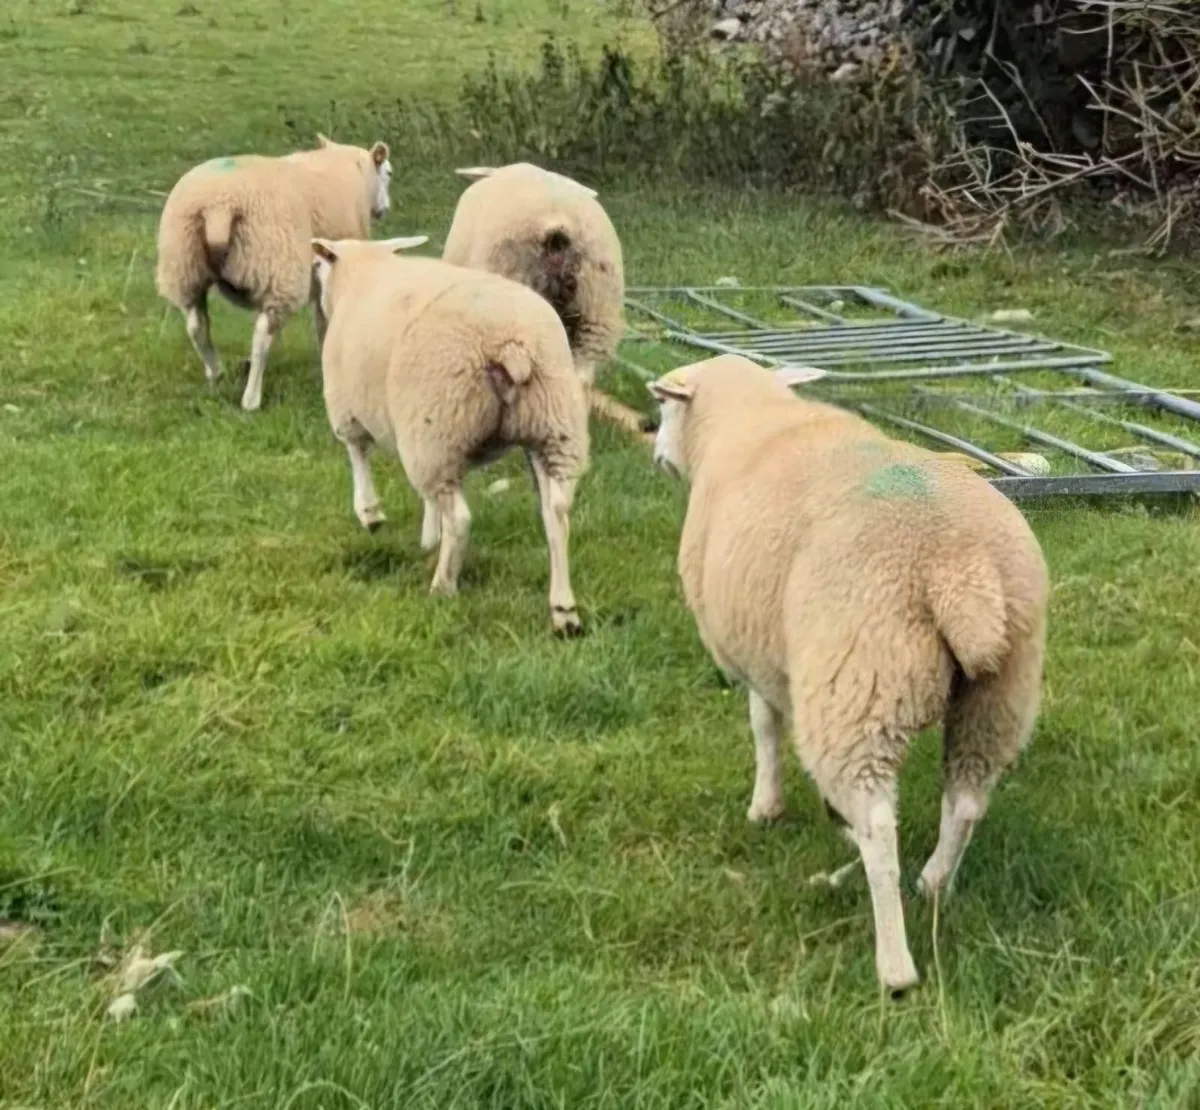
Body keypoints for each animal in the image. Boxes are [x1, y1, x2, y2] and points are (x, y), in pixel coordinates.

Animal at [155, 134, 394, 412]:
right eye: (388, 173)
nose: (385, 208)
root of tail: (219, 205)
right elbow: (325, 322)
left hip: (185, 265)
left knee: (196, 325)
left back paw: (216, 373)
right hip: (279, 270)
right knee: (262, 336)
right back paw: (251, 399)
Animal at [311, 234, 590, 637]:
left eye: (318, 265)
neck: (363, 272)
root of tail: (512, 344)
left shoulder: (347, 407)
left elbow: (358, 453)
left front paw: (371, 514)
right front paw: (430, 537)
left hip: (437, 423)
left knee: (460, 518)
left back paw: (442, 587)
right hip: (552, 427)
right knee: (556, 515)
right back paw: (564, 611)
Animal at [647, 354, 1049, 996]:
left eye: (663, 405)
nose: (650, 443)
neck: (747, 421)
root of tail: (960, 572)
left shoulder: (761, 656)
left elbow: (764, 727)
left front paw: (766, 808)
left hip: (859, 684)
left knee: (880, 828)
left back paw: (896, 967)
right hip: (1000, 692)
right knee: (965, 799)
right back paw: (935, 882)